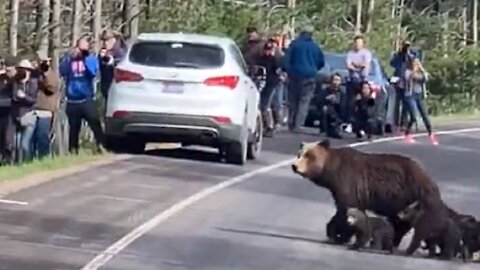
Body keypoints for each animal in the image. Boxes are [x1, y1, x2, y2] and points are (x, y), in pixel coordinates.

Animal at [290, 140, 440, 248]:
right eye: (299, 154)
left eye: (308, 156)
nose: (294, 166)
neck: (332, 172)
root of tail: (429, 178)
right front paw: (333, 231)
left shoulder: (349, 184)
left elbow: (345, 210)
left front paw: (339, 235)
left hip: (407, 197)